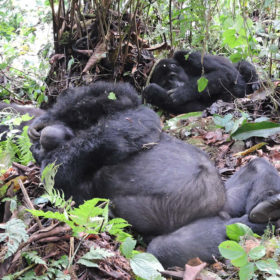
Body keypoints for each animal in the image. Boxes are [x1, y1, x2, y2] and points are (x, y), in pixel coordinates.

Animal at [27, 81, 280, 266]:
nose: (43, 139)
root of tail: (221, 212)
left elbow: (122, 99)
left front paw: (43, 120)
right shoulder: (57, 171)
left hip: (228, 200)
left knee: (258, 166)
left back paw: (269, 204)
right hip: (213, 220)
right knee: (167, 248)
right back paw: (260, 222)